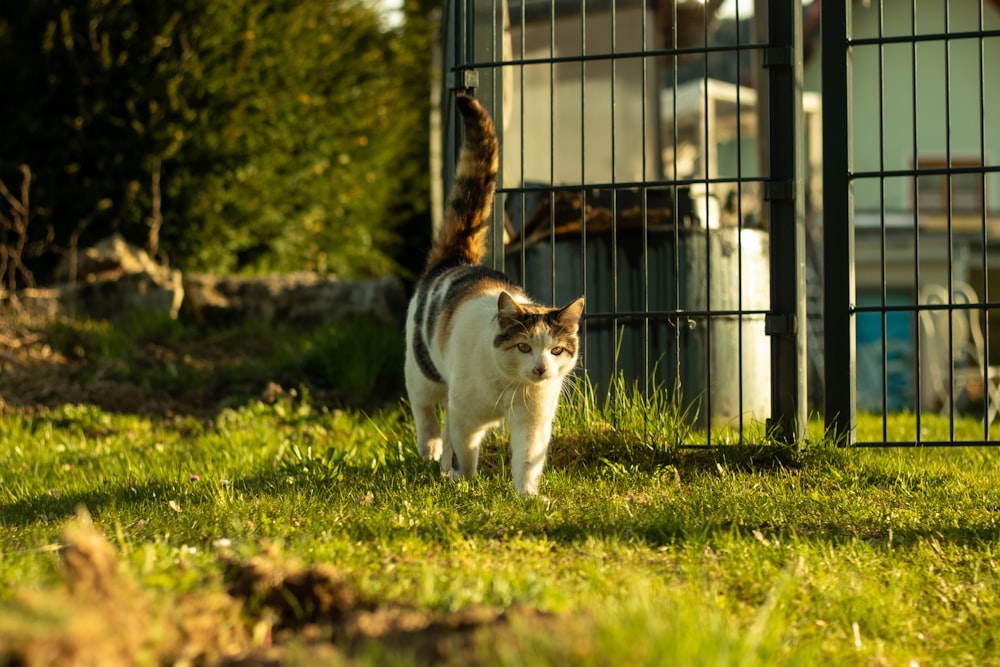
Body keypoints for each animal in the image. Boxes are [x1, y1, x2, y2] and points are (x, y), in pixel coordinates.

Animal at [402, 95, 584, 500]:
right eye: (523, 347)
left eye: (556, 350)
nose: (541, 369)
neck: (512, 389)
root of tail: (458, 261)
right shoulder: (465, 413)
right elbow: (464, 451)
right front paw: (463, 484)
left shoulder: (534, 421)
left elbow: (528, 460)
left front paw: (528, 496)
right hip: (423, 369)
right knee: (425, 408)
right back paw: (429, 448)